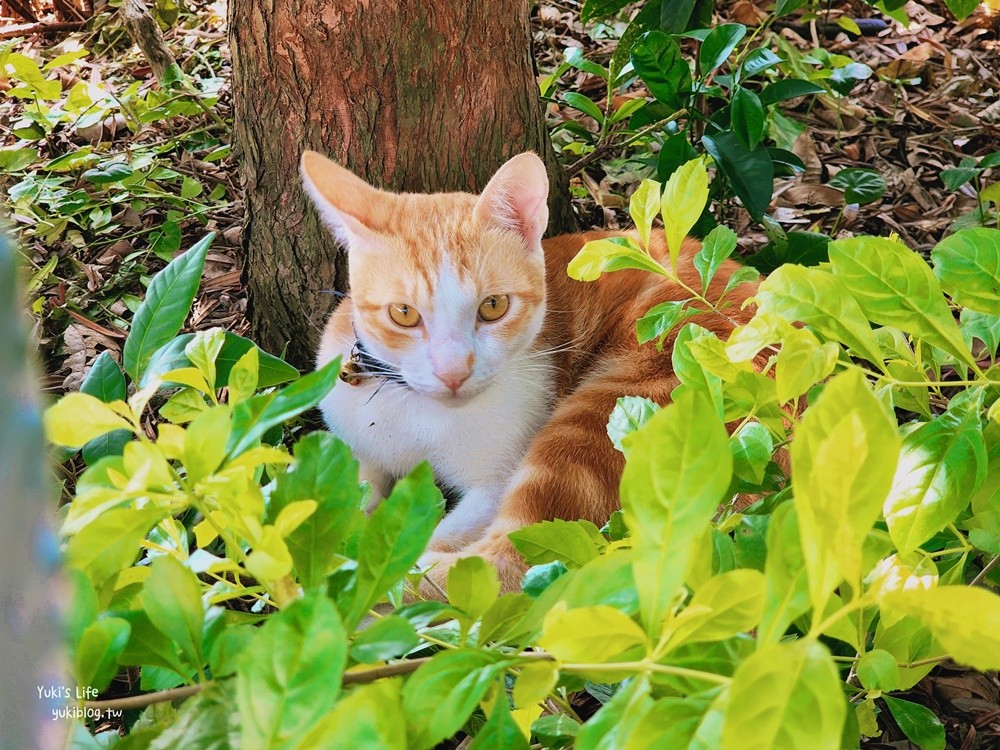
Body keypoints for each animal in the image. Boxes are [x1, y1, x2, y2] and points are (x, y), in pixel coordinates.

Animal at [300, 151, 752, 592]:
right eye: (403, 313)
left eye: (493, 306)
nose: (453, 372)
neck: (414, 408)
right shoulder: (355, 452)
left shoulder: (493, 484)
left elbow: (429, 539)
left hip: (607, 416)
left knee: (508, 564)